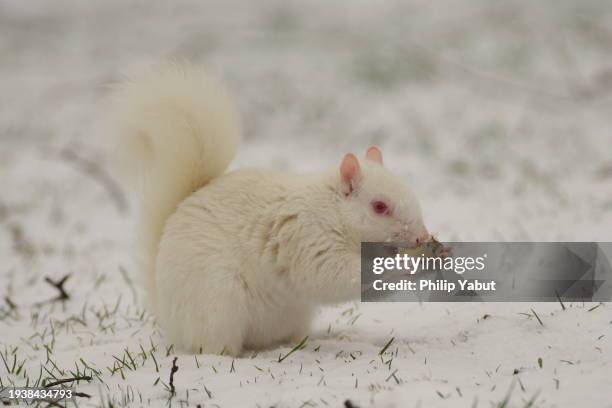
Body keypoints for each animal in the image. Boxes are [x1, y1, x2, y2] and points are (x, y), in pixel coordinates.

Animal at [106, 63, 430, 354]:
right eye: (380, 207)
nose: (421, 237)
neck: (333, 213)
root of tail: (169, 316)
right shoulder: (305, 238)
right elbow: (334, 276)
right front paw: (405, 264)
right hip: (217, 300)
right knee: (214, 345)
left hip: (292, 314)